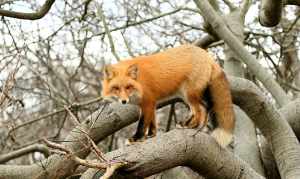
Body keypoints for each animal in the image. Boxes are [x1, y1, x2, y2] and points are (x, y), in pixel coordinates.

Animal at [101, 44, 234, 147]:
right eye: (116, 88)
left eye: (128, 87)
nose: (124, 101)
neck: (140, 82)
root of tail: (207, 55)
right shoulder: (151, 103)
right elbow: (152, 122)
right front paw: (151, 135)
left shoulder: (148, 102)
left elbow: (142, 124)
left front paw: (136, 138)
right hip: (186, 95)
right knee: (197, 109)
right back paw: (187, 124)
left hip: (190, 94)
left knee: (202, 108)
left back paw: (192, 126)